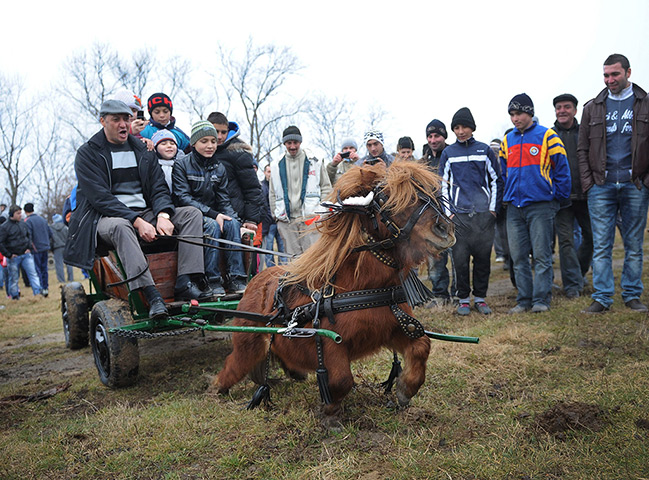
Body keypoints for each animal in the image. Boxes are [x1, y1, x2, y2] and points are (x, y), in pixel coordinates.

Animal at [213, 160, 455, 424]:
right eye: (392, 199)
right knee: (233, 366)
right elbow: (341, 379)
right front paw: (330, 414)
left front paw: (405, 389)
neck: (359, 285)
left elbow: (422, 346)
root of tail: (255, 280)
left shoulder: (395, 327)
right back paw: (217, 389)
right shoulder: (330, 343)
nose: (445, 229)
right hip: (248, 344)